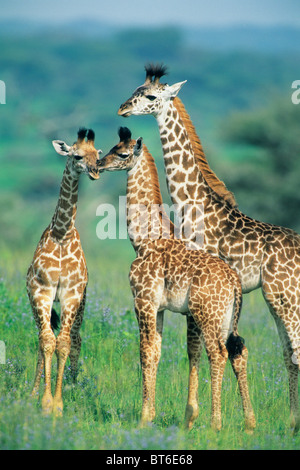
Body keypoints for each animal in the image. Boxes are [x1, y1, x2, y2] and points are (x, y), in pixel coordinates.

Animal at [27, 127, 102, 414]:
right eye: (77, 155)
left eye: (97, 155)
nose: (95, 171)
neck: (61, 234)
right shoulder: (41, 292)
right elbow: (47, 342)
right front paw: (44, 400)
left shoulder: (71, 294)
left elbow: (64, 343)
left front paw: (58, 402)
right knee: (42, 337)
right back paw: (33, 393)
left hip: (82, 304)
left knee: (76, 340)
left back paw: (73, 384)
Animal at [98, 126, 255, 432]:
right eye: (111, 147)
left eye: (122, 153)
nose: (98, 164)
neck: (143, 239)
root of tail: (234, 281)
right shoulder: (158, 308)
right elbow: (158, 352)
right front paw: (154, 414)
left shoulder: (143, 301)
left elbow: (145, 351)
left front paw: (144, 417)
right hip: (226, 317)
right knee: (237, 351)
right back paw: (250, 422)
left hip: (206, 314)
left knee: (218, 353)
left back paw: (216, 423)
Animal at [118, 63, 300, 434]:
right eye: (135, 90)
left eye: (151, 96)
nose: (123, 109)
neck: (193, 205)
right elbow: (218, 350)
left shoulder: (199, 293)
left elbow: (197, 349)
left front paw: (194, 418)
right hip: (275, 300)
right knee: (288, 352)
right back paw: (292, 422)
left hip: (285, 297)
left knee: (296, 351)